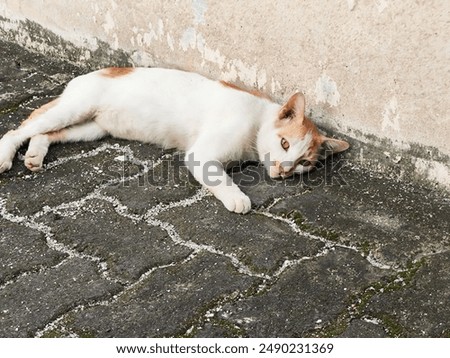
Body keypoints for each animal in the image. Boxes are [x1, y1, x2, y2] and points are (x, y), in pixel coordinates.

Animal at [0, 67, 350, 213]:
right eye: (285, 144)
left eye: (304, 162)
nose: (284, 170)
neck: (257, 123)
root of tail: (97, 71)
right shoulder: (202, 154)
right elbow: (220, 178)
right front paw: (236, 198)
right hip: (75, 107)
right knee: (19, 129)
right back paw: (5, 156)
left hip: (90, 127)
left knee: (43, 133)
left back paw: (34, 155)